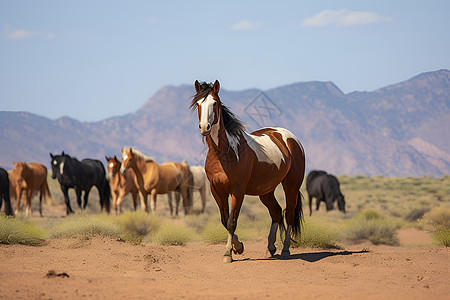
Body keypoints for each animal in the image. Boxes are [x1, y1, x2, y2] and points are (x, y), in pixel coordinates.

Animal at [188, 79, 308, 262]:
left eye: (214, 103)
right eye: (198, 104)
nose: (204, 127)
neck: (225, 153)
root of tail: (289, 138)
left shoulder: (238, 190)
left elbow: (232, 221)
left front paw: (228, 254)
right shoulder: (217, 190)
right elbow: (224, 220)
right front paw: (238, 247)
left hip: (291, 186)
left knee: (289, 214)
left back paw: (285, 249)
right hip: (266, 191)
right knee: (276, 212)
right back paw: (271, 247)